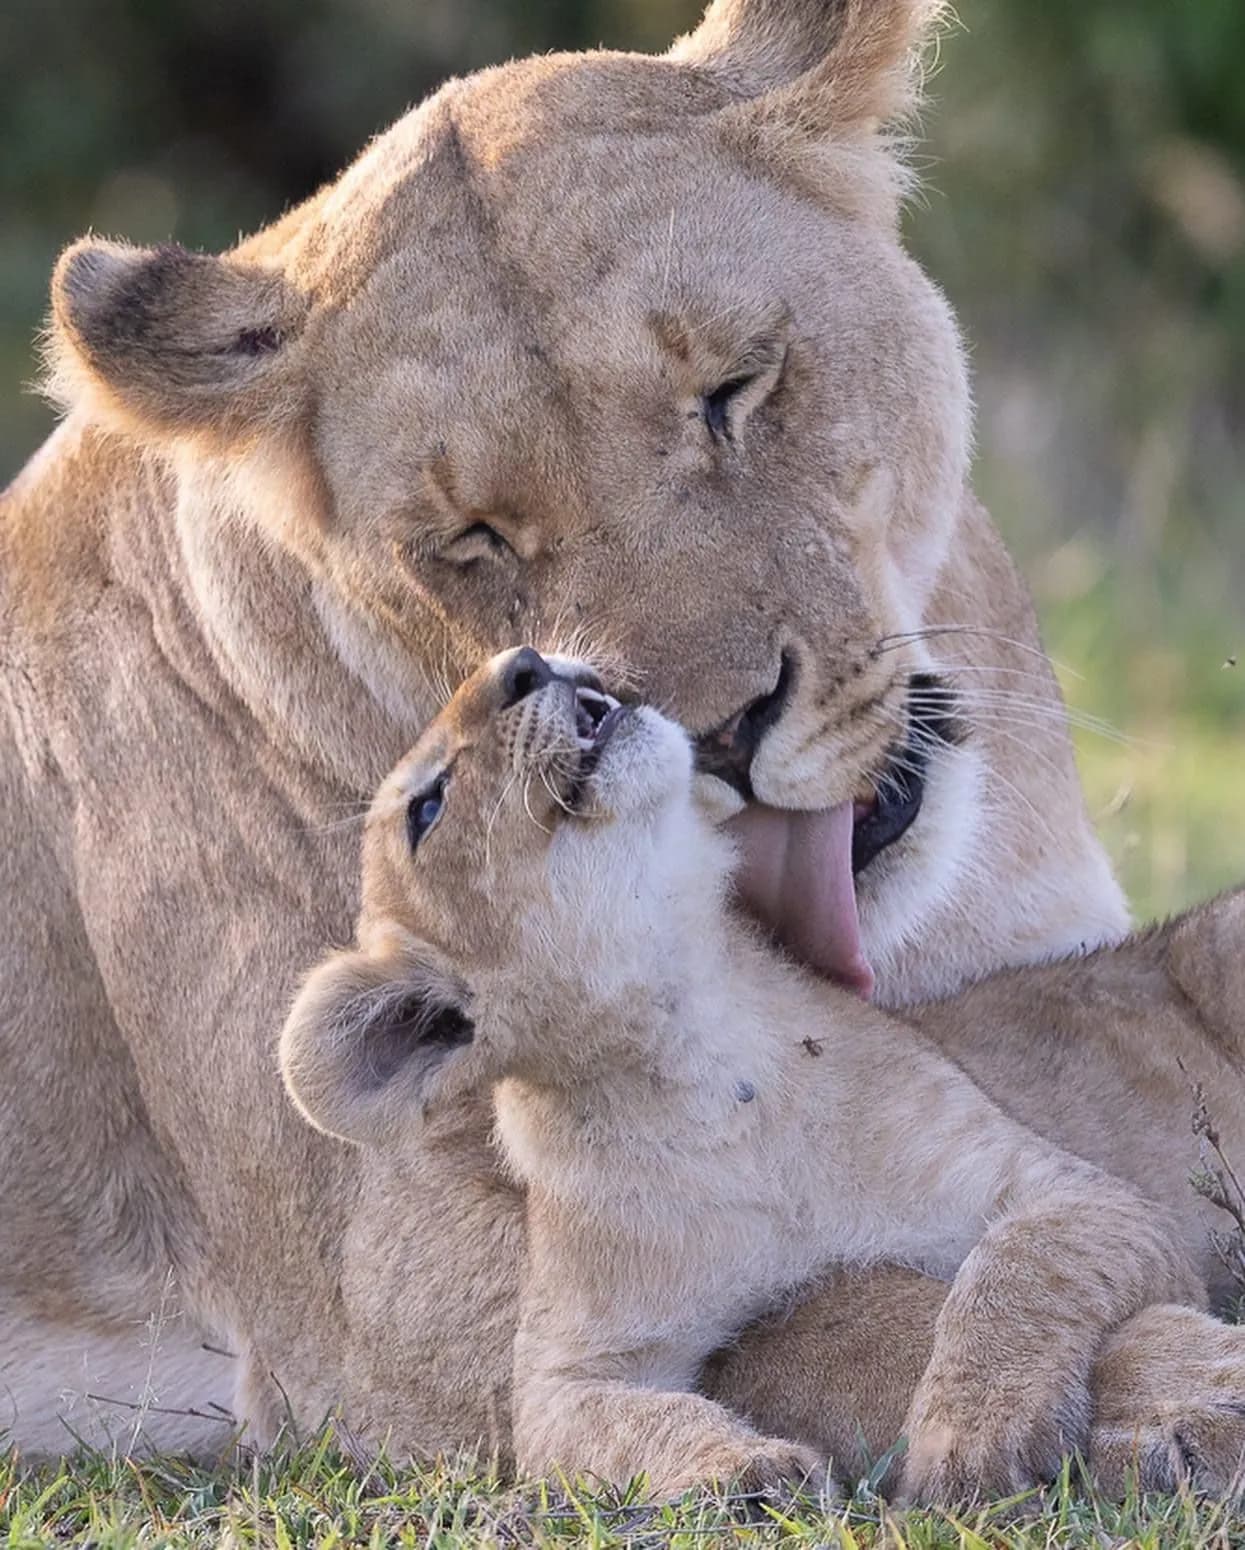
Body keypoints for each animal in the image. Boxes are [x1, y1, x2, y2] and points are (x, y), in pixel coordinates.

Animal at [280, 647, 1217, 1503]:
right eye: (428, 807)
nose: (525, 662)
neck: (698, 1062)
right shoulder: (561, 1379)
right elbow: (616, 1425)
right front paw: (749, 1472)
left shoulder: (1081, 1196)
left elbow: (1017, 1268)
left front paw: (975, 1432)